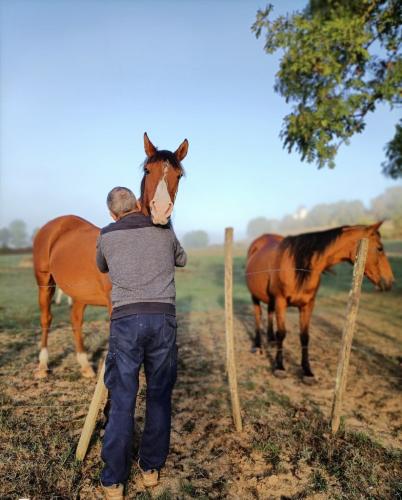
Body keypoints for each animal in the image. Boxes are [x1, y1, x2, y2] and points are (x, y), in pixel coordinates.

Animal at [33, 135, 188, 376]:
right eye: (147, 170)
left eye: (178, 174)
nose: (161, 211)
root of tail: (55, 225)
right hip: (44, 282)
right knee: (46, 318)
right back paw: (42, 364)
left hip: (79, 293)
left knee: (76, 319)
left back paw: (85, 365)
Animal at [247, 223, 394, 378]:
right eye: (380, 248)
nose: (390, 281)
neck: (299, 267)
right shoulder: (281, 301)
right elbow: (281, 333)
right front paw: (279, 366)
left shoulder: (308, 305)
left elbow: (305, 336)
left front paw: (307, 371)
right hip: (255, 296)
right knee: (258, 316)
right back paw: (257, 345)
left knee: (269, 312)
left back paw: (270, 340)